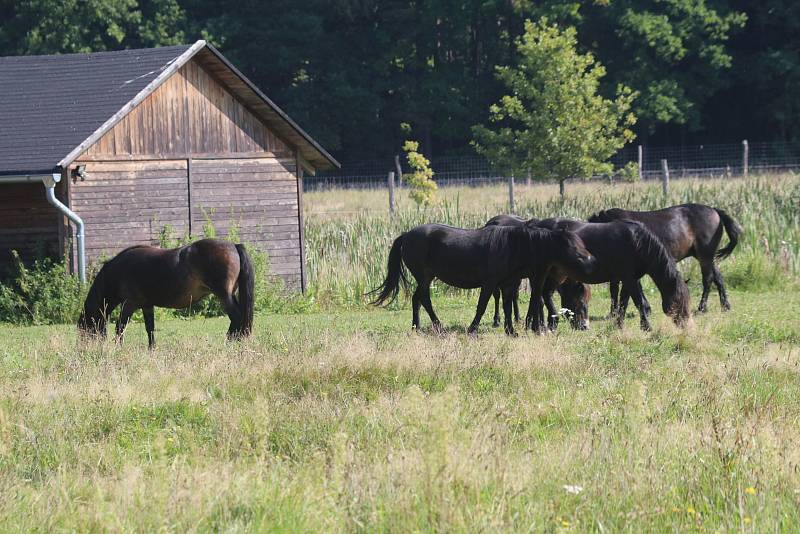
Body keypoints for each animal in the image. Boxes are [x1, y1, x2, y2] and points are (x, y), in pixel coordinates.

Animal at [77, 240, 253, 350]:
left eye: (85, 328)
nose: (85, 349)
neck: (118, 272)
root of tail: (233, 245)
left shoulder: (129, 303)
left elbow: (120, 327)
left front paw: (118, 348)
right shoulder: (147, 305)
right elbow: (150, 328)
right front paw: (152, 349)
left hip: (224, 295)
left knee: (237, 317)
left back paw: (230, 342)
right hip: (230, 295)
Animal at [368, 224, 592, 338]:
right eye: (571, 246)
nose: (590, 260)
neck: (515, 246)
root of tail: (406, 235)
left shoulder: (507, 284)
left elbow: (507, 307)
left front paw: (511, 331)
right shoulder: (490, 283)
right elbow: (482, 306)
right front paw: (472, 330)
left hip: (426, 277)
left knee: (417, 299)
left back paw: (417, 327)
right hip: (423, 276)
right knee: (425, 299)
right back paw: (439, 327)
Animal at [528, 220, 692, 332]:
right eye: (678, 301)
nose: (685, 324)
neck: (638, 242)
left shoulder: (629, 280)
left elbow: (624, 303)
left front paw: (619, 325)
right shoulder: (629, 279)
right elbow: (639, 303)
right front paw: (646, 327)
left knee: (541, 295)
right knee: (540, 296)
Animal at [588, 204, 744, 314]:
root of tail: (714, 210)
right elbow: (615, 290)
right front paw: (614, 313)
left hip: (705, 255)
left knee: (708, 279)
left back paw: (702, 307)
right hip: (705, 256)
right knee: (718, 278)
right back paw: (725, 306)